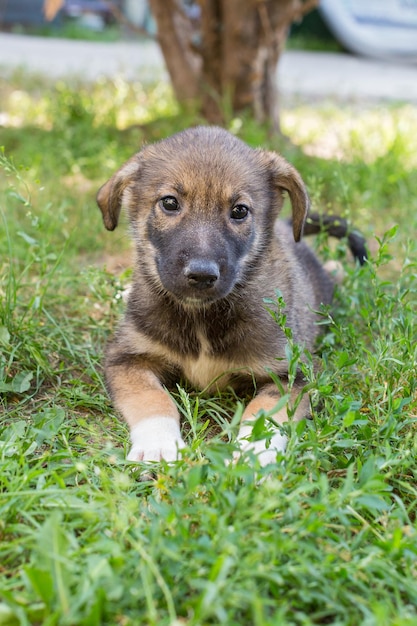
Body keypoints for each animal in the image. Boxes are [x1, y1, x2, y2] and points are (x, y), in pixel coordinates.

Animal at [97, 124, 364, 464]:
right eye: (169, 203)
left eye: (239, 211)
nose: (202, 274)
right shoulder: (127, 358)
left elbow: (265, 413)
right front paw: (159, 445)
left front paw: (253, 452)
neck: (200, 318)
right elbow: (152, 398)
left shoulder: (293, 373)